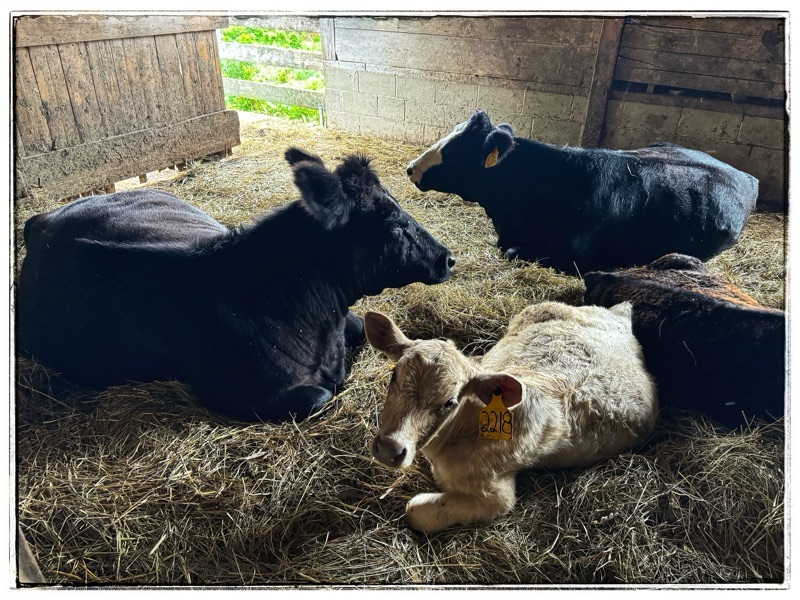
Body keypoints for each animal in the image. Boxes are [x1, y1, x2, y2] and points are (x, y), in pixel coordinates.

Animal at [17, 148, 455, 423]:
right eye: (395, 224)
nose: (446, 257)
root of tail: (43, 219)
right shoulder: (245, 395)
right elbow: (320, 397)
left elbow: (362, 328)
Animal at [365, 301, 658, 532]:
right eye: (394, 376)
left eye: (449, 402)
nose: (389, 449)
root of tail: (620, 316)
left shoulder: (496, 497)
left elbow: (414, 510)